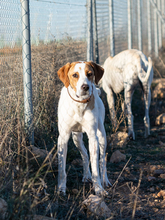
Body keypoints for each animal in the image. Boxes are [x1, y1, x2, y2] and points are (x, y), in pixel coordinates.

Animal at [57, 61, 110, 195]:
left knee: (102, 160)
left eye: (90, 74)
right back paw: (86, 175)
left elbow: (96, 167)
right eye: (75, 75)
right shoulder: (63, 137)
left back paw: (105, 180)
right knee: (85, 154)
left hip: (102, 136)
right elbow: (61, 168)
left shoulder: (93, 137)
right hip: (76, 138)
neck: (79, 104)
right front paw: (61, 188)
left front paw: (98, 189)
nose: (85, 87)